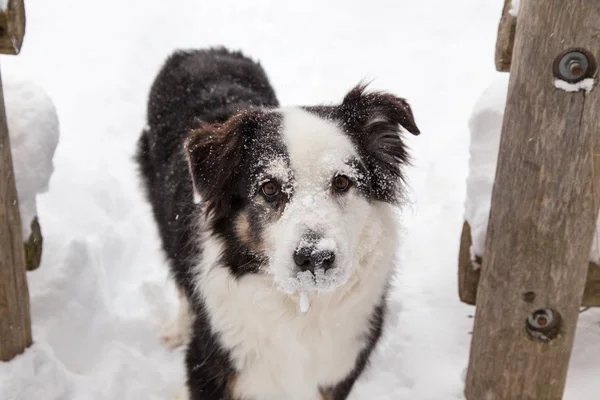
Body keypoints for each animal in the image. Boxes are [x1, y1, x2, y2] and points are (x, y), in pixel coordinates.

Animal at [135, 47, 418, 400]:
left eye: (342, 182)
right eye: (269, 188)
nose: (315, 258)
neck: (299, 309)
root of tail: (199, 51)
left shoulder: (336, 373)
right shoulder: (213, 368)